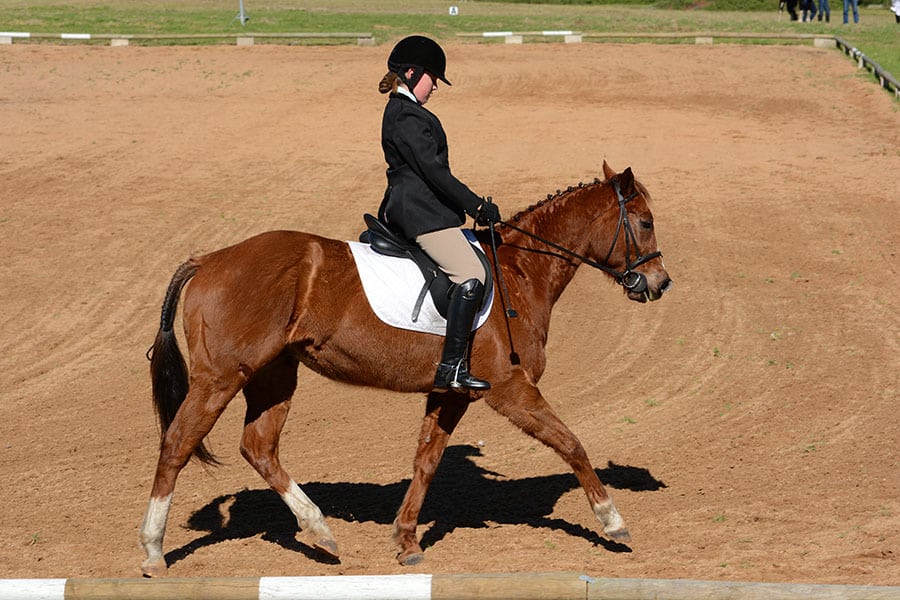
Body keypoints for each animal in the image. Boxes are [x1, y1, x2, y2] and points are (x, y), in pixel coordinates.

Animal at [139, 161, 672, 576]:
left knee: (258, 447)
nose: (659, 283)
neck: (520, 272)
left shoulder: (452, 391)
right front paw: (613, 521)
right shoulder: (509, 389)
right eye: (645, 222)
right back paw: (153, 551)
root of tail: (210, 259)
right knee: (177, 443)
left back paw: (320, 531)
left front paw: (408, 540)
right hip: (221, 377)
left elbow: (427, 461)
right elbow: (571, 443)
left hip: (274, 375)